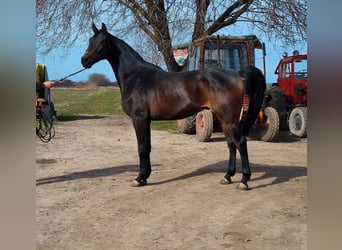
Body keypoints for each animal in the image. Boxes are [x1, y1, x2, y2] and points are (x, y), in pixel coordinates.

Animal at [81, 23, 266, 190]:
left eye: (103, 41)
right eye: (90, 40)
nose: (84, 60)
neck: (136, 77)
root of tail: (238, 74)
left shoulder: (139, 119)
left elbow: (142, 148)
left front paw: (139, 179)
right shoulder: (146, 120)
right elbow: (147, 147)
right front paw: (145, 176)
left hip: (230, 119)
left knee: (240, 143)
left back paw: (244, 180)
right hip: (223, 118)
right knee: (231, 144)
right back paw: (227, 177)